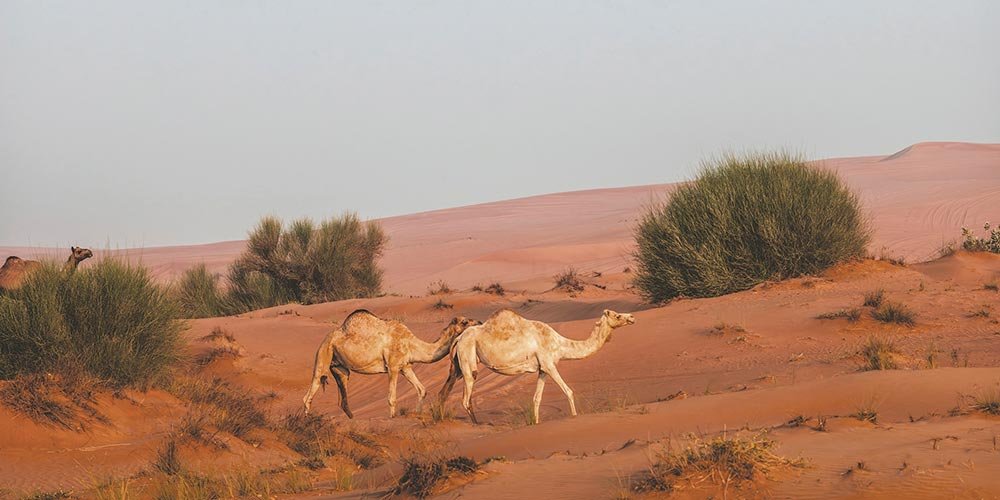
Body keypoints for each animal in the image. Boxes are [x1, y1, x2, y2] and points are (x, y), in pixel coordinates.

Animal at [303, 310, 481, 418]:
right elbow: (392, 398)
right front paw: (393, 418)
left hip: (339, 367)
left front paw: (418, 413)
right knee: (311, 390)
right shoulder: (393, 366)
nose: (479, 322)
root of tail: (328, 336)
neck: (411, 343)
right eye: (465, 322)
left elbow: (422, 390)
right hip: (323, 353)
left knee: (342, 394)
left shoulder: (405, 366)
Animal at [439, 308, 636, 424]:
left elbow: (536, 399)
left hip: (457, 365)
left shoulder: (542, 370)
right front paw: (574, 417)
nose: (632, 317)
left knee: (445, 392)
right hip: (468, 358)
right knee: (466, 398)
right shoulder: (549, 365)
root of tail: (459, 338)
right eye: (617, 315)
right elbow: (569, 391)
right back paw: (479, 425)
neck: (560, 344)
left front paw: (536, 423)